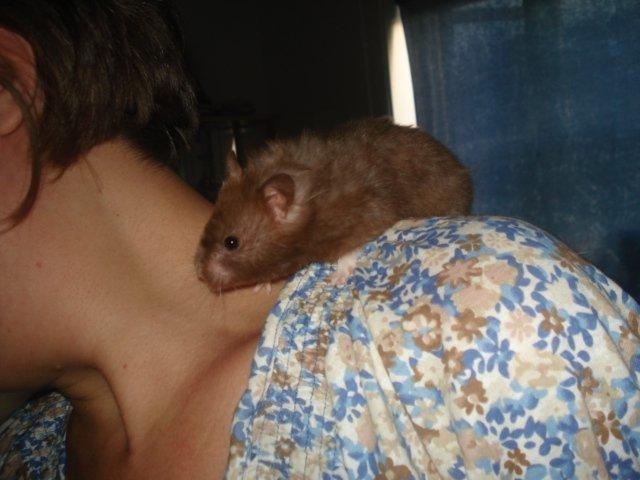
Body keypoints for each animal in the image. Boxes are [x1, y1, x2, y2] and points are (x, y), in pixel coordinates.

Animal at [195, 117, 472, 291]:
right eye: (205, 230)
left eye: (232, 243)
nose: (199, 275)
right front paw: (261, 285)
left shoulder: (367, 214)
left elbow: (349, 249)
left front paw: (337, 279)